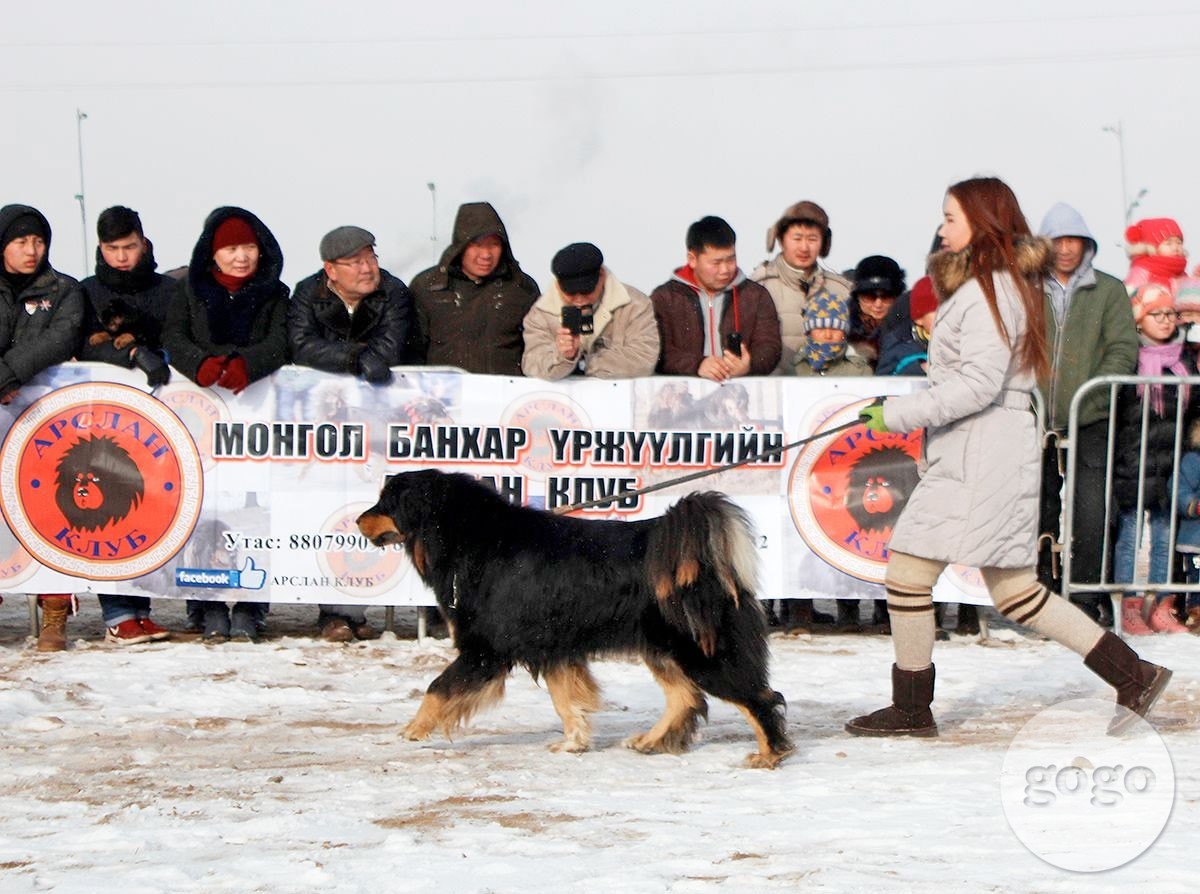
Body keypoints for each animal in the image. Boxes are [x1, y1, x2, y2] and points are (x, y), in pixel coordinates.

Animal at [355, 468, 787, 768]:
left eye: (386, 502)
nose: (357, 521)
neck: (472, 539)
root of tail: (704, 561)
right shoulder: (553, 646)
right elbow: (565, 700)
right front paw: (573, 741)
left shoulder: (486, 650)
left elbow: (437, 689)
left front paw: (411, 730)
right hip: (663, 651)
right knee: (686, 699)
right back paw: (649, 741)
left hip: (704, 653)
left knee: (760, 698)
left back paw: (771, 754)